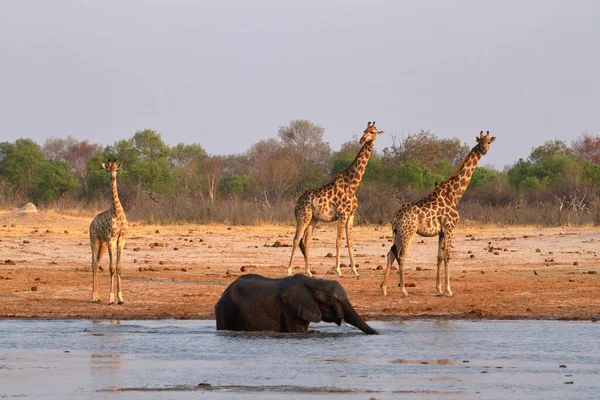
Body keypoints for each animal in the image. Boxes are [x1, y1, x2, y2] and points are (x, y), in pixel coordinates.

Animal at [89, 159, 129, 304]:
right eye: (107, 169)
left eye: (116, 169)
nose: (112, 177)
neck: (117, 212)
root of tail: (92, 222)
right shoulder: (112, 239)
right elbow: (112, 267)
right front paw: (111, 298)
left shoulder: (121, 238)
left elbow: (119, 266)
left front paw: (121, 298)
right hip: (94, 239)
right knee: (94, 263)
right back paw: (94, 297)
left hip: (103, 243)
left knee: (97, 262)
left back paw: (97, 296)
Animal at [288, 122, 384, 278]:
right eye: (364, 131)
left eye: (373, 131)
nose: (362, 139)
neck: (352, 185)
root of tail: (296, 204)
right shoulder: (342, 214)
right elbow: (339, 241)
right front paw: (339, 270)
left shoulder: (351, 215)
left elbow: (350, 242)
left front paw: (355, 271)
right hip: (303, 217)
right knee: (296, 239)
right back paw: (289, 270)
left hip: (313, 219)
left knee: (306, 241)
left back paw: (309, 272)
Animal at [382, 130, 494, 296]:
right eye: (480, 141)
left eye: (489, 142)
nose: (484, 150)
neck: (454, 195)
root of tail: (395, 218)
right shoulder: (449, 228)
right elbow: (447, 256)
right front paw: (448, 290)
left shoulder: (441, 232)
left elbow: (439, 256)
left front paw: (439, 289)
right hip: (408, 232)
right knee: (401, 255)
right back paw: (403, 290)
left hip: (397, 233)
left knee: (390, 253)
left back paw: (383, 289)